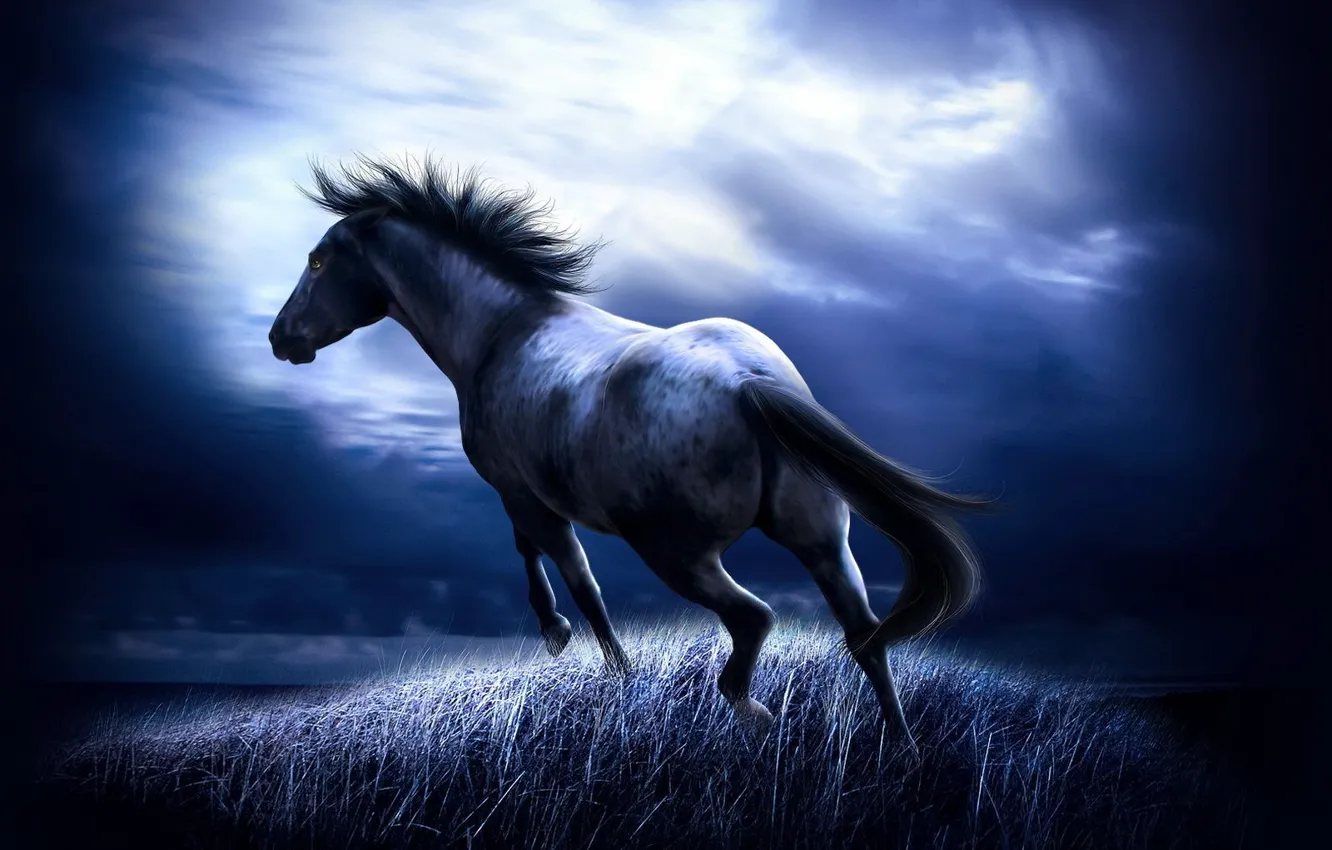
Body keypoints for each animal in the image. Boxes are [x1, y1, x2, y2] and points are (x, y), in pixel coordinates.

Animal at [268, 154, 989, 748]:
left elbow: (574, 577)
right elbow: (544, 559)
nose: (281, 339)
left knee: (754, 619)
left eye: (318, 262)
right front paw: (570, 644)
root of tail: (752, 385)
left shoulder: (524, 495)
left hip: (676, 552)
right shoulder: (528, 497)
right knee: (864, 637)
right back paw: (902, 749)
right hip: (822, 541)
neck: (501, 331)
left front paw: (592, 656)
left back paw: (752, 711)